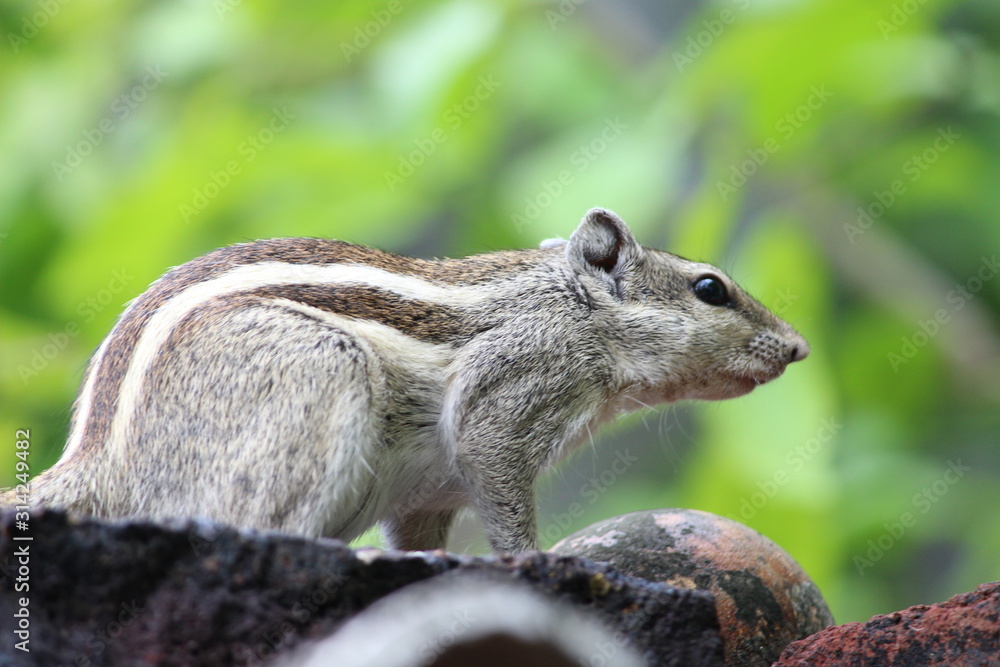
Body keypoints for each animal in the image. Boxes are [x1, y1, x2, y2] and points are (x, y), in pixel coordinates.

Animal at [2, 208, 808, 554]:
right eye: (710, 289)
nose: (799, 347)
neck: (570, 306)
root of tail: (100, 460)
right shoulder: (508, 399)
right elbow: (504, 496)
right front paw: (534, 560)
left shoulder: (429, 496)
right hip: (318, 381)